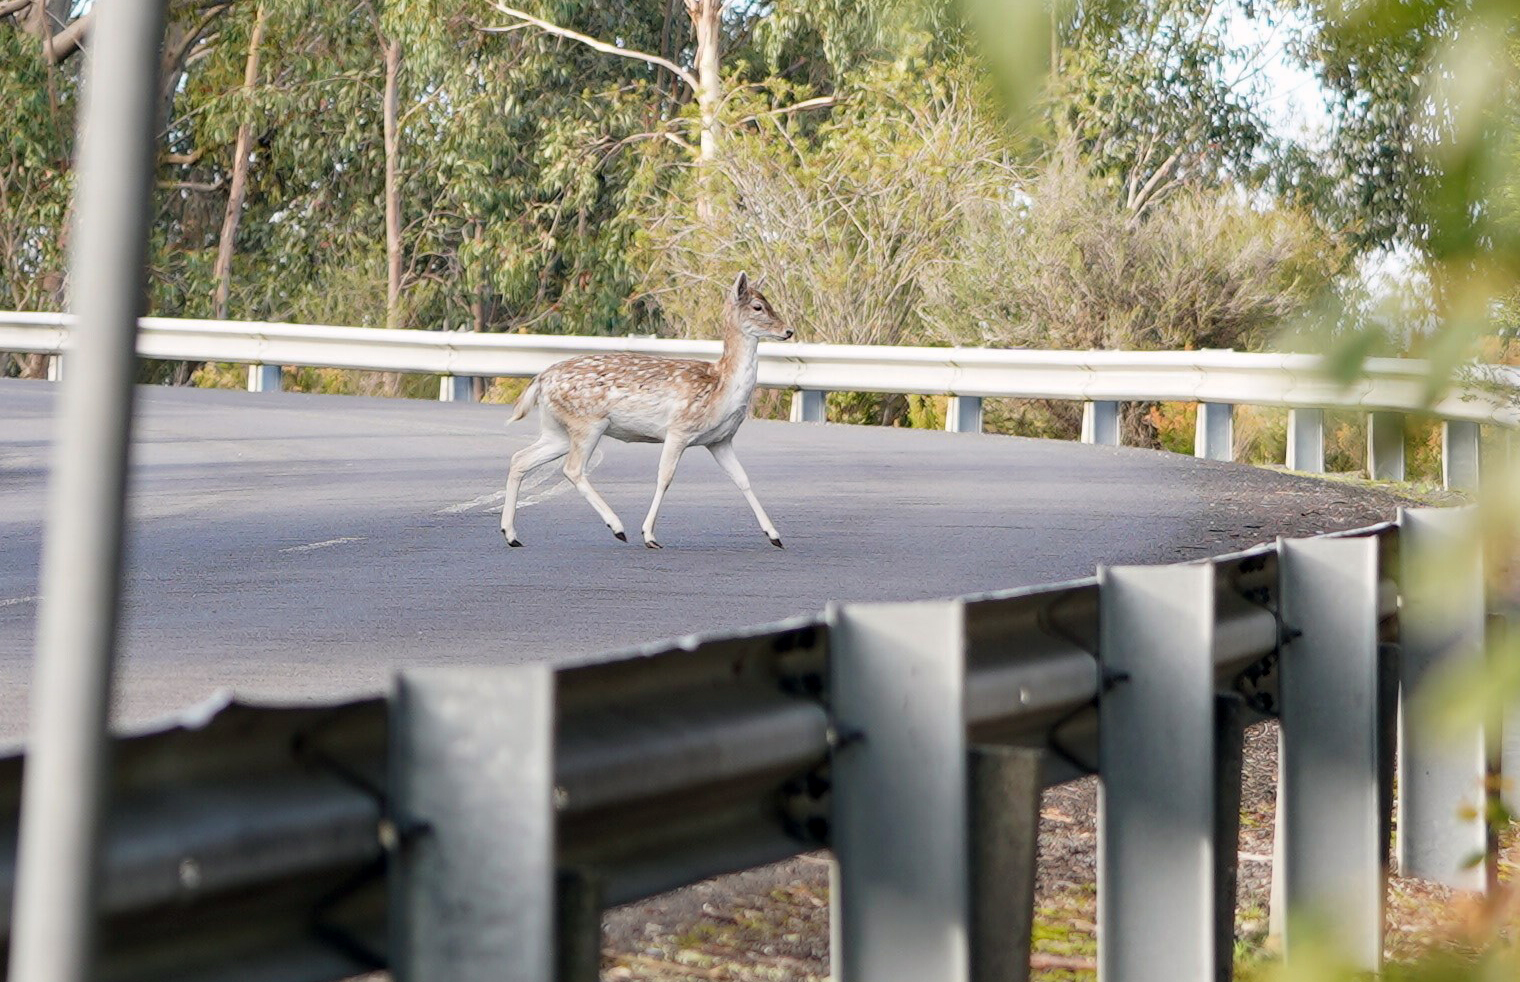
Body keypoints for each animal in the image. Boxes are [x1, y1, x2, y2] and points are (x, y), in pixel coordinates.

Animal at [501, 272, 794, 549]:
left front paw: (775, 536)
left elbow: (743, 479)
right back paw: (617, 527)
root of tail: (541, 379)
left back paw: (511, 534)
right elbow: (665, 477)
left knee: (520, 458)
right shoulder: (679, 429)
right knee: (572, 469)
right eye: (758, 306)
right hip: (587, 422)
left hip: (557, 430)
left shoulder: (720, 440)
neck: (720, 388)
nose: (788, 330)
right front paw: (649, 535)